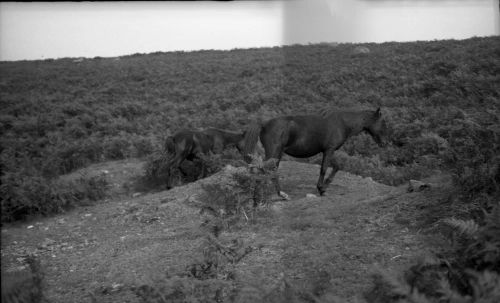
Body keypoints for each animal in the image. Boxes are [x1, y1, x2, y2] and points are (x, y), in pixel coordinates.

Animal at [244, 108, 388, 198]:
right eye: (383, 123)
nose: (384, 143)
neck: (341, 123)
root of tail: (264, 124)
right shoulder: (329, 150)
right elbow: (323, 169)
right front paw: (321, 189)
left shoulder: (328, 150)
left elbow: (337, 166)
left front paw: (325, 185)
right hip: (274, 152)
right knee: (268, 171)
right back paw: (279, 194)